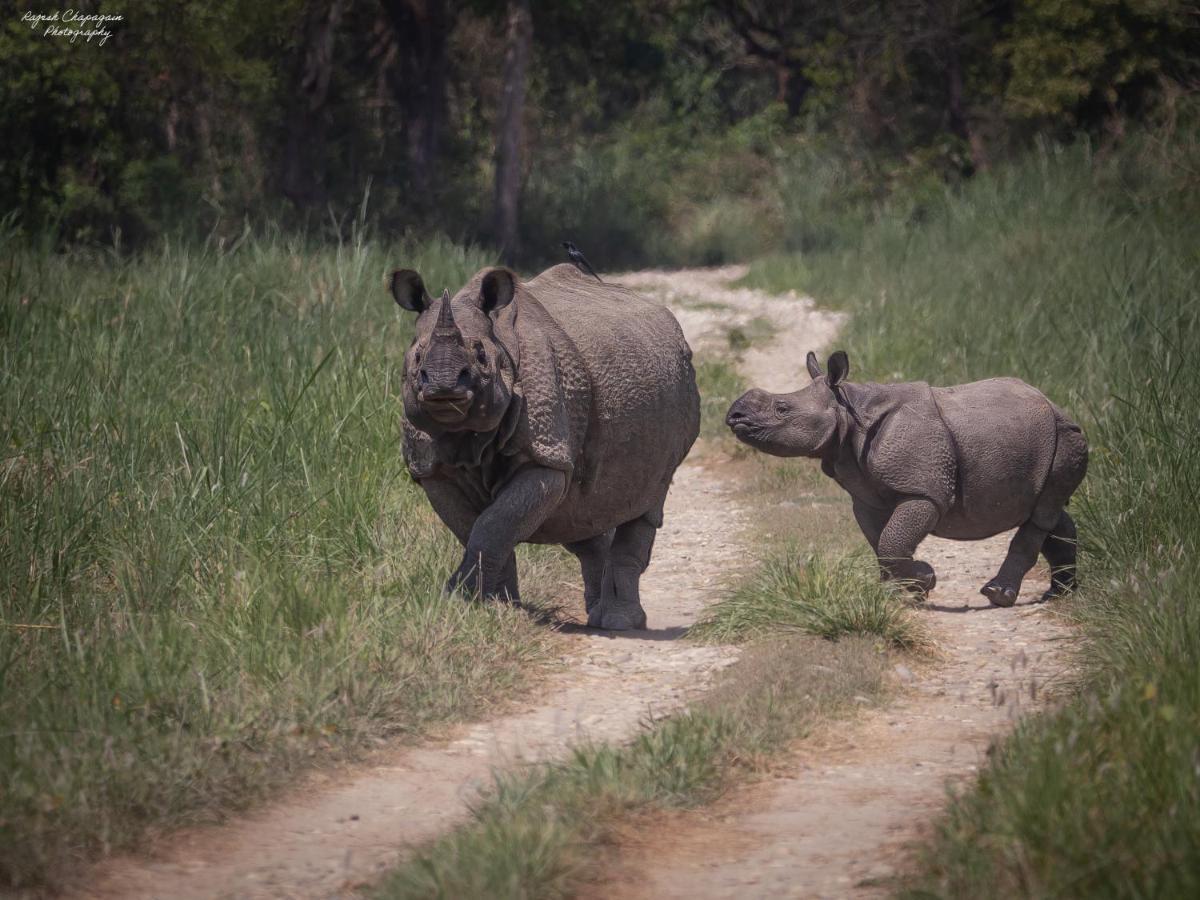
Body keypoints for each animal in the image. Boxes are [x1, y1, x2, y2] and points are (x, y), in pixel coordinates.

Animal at [388, 260, 700, 628]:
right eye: (416, 357)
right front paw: (494, 607)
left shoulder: (545, 458)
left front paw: (459, 597)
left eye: (481, 356)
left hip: (679, 394)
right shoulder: (433, 470)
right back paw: (597, 613)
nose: (443, 385)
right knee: (584, 516)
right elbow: (480, 530)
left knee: (646, 502)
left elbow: (493, 525)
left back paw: (620, 622)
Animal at [724, 350, 1094, 607]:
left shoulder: (923, 491)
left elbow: (892, 542)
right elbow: (881, 543)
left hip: (1065, 437)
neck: (848, 408)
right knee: (1047, 511)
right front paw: (895, 592)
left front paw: (924, 580)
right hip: (1045, 440)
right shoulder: (866, 495)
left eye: (782, 409)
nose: (733, 416)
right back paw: (1058, 594)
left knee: (1043, 511)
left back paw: (998, 595)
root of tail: (1055, 405)